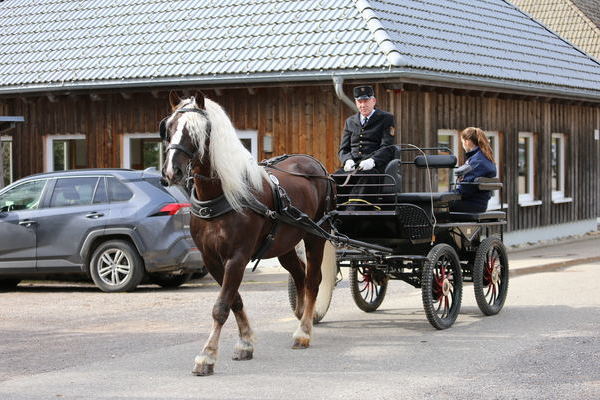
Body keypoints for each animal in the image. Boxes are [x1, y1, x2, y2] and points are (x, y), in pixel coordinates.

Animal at [159, 93, 338, 376]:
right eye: (169, 128)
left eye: (197, 132)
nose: (171, 171)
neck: (221, 194)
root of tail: (315, 163)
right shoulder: (212, 259)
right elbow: (235, 300)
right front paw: (245, 343)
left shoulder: (237, 257)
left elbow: (221, 306)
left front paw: (207, 356)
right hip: (285, 244)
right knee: (299, 273)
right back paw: (301, 316)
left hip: (315, 236)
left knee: (313, 279)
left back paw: (304, 332)